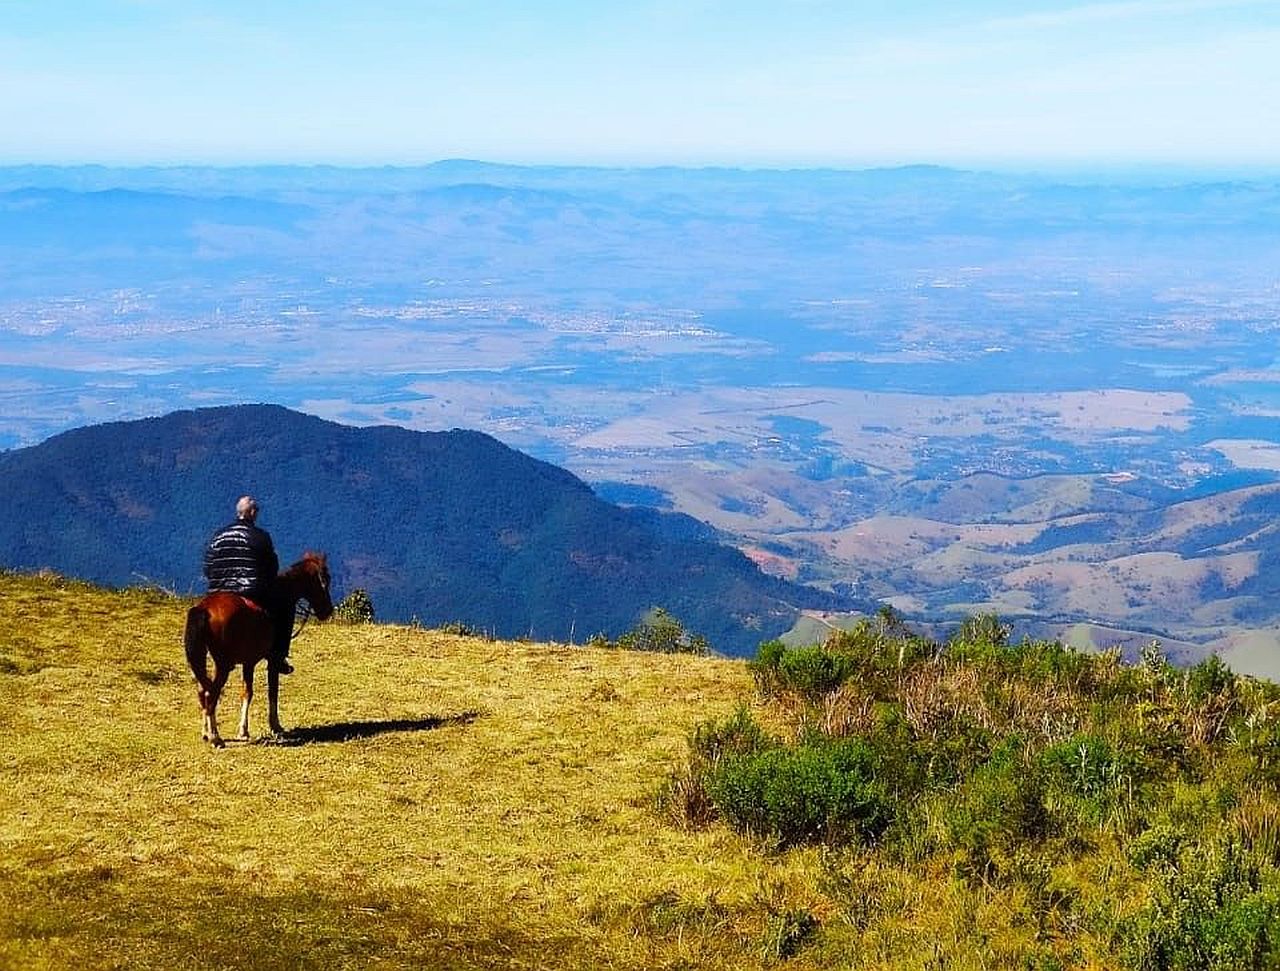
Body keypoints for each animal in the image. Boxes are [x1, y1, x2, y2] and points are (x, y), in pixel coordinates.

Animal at [186, 550, 337, 747]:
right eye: (325, 579)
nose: (328, 611)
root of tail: (204, 608)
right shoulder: (273, 660)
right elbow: (272, 691)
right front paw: (275, 725)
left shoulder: (248, 662)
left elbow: (247, 692)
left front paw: (243, 730)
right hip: (223, 665)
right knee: (211, 693)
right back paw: (215, 737)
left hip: (204, 658)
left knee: (202, 691)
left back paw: (205, 732)